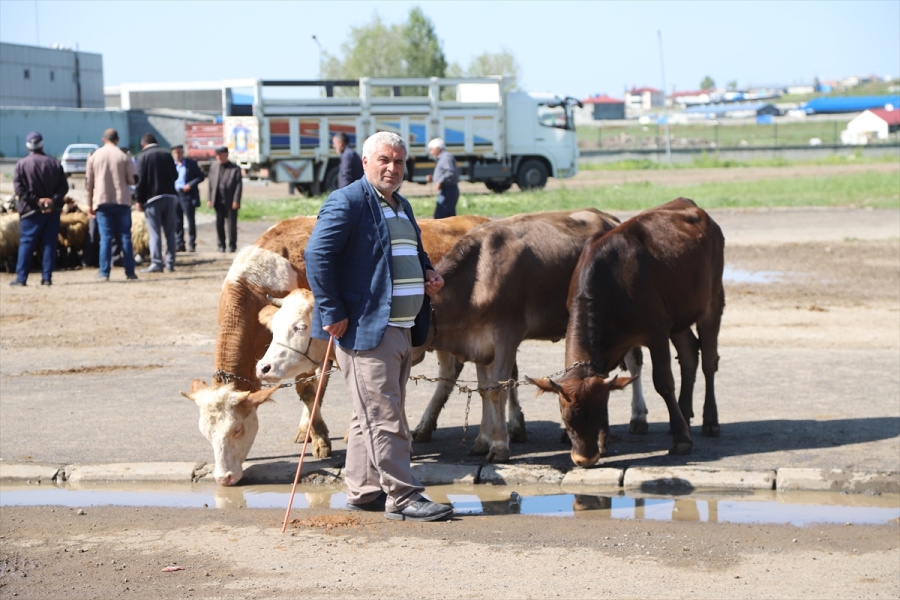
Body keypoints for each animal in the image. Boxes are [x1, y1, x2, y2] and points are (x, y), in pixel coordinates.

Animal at [528, 199, 724, 466]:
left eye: (597, 414)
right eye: (566, 420)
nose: (584, 459)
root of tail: (687, 203)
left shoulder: (657, 331)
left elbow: (664, 383)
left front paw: (682, 440)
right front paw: (603, 442)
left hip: (712, 300)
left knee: (708, 361)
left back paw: (710, 421)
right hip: (679, 313)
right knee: (689, 354)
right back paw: (683, 415)